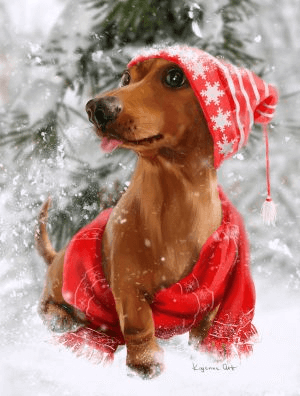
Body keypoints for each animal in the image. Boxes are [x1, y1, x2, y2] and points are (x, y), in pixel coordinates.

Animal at [35, 58, 223, 378]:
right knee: (46, 305)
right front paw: (146, 364)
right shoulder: (127, 284)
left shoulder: (211, 287)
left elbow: (203, 327)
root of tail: (56, 255)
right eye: (126, 78)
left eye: (175, 77)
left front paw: (206, 353)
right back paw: (59, 317)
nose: (96, 108)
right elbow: (138, 325)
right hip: (61, 282)